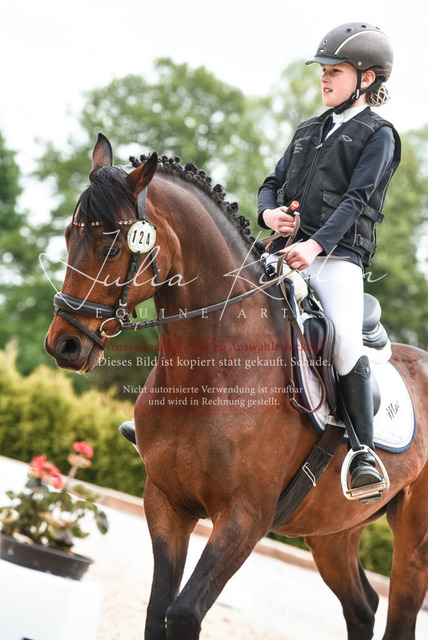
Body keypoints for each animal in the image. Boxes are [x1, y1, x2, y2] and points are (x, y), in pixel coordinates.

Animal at [45, 133, 428, 640]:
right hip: (333, 529)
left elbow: (182, 613)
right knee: (362, 605)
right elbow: (156, 611)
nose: (64, 345)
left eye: (111, 248)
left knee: (400, 608)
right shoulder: (166, 503)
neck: (212, 373)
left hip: (413, 539)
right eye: (70, 236)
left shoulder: (245, 519)